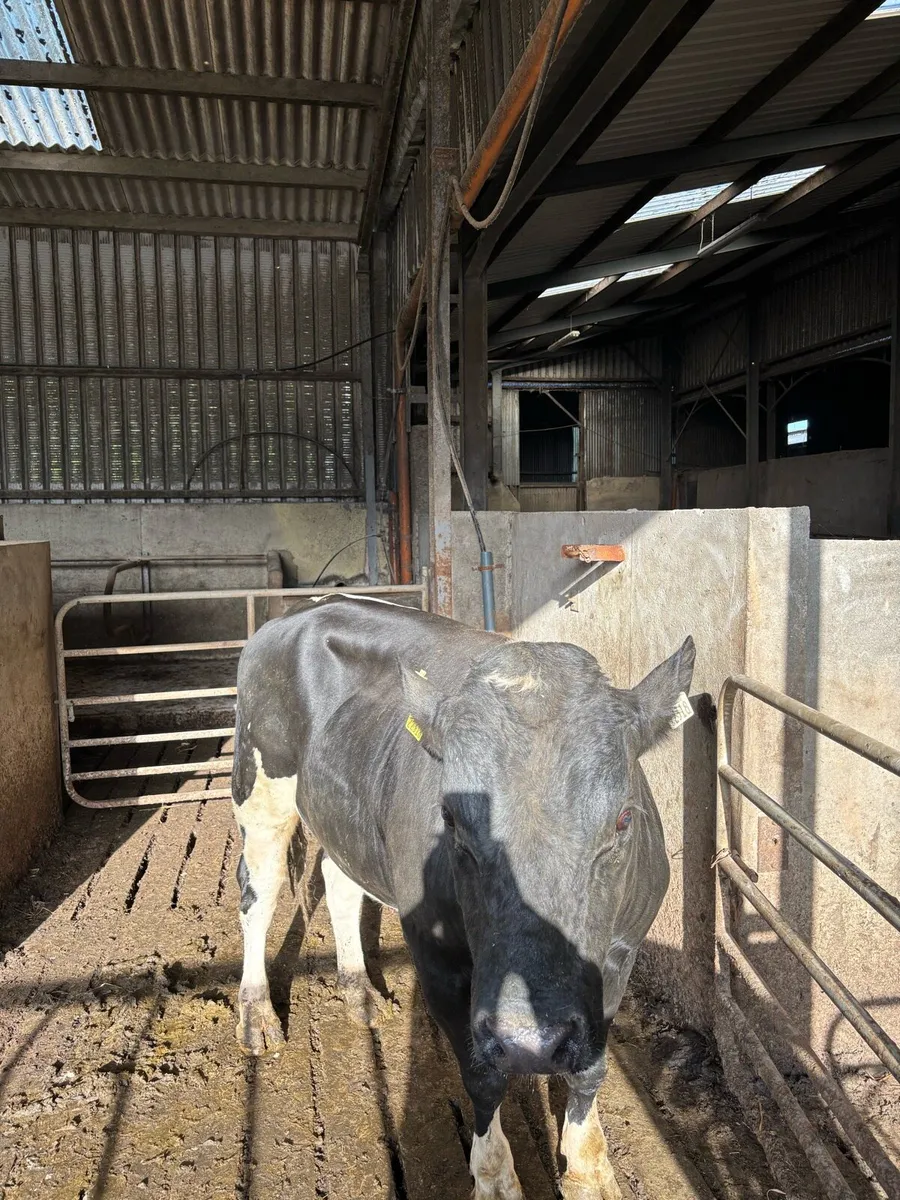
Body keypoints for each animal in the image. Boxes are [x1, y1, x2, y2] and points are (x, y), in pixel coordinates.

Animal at [230, 595, 694, 1199]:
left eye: (624, 818)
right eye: (450, 817)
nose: (529, 1042)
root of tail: (303, 609)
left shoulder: (621, 950)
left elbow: (591, 1066)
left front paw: (589, 1171)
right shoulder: (439, 959)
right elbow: (481, 1075)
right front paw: (495, 1177)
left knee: (338, 879)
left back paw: (358, 990)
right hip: (260, 786)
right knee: (257, 896)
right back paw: (256, 1016)